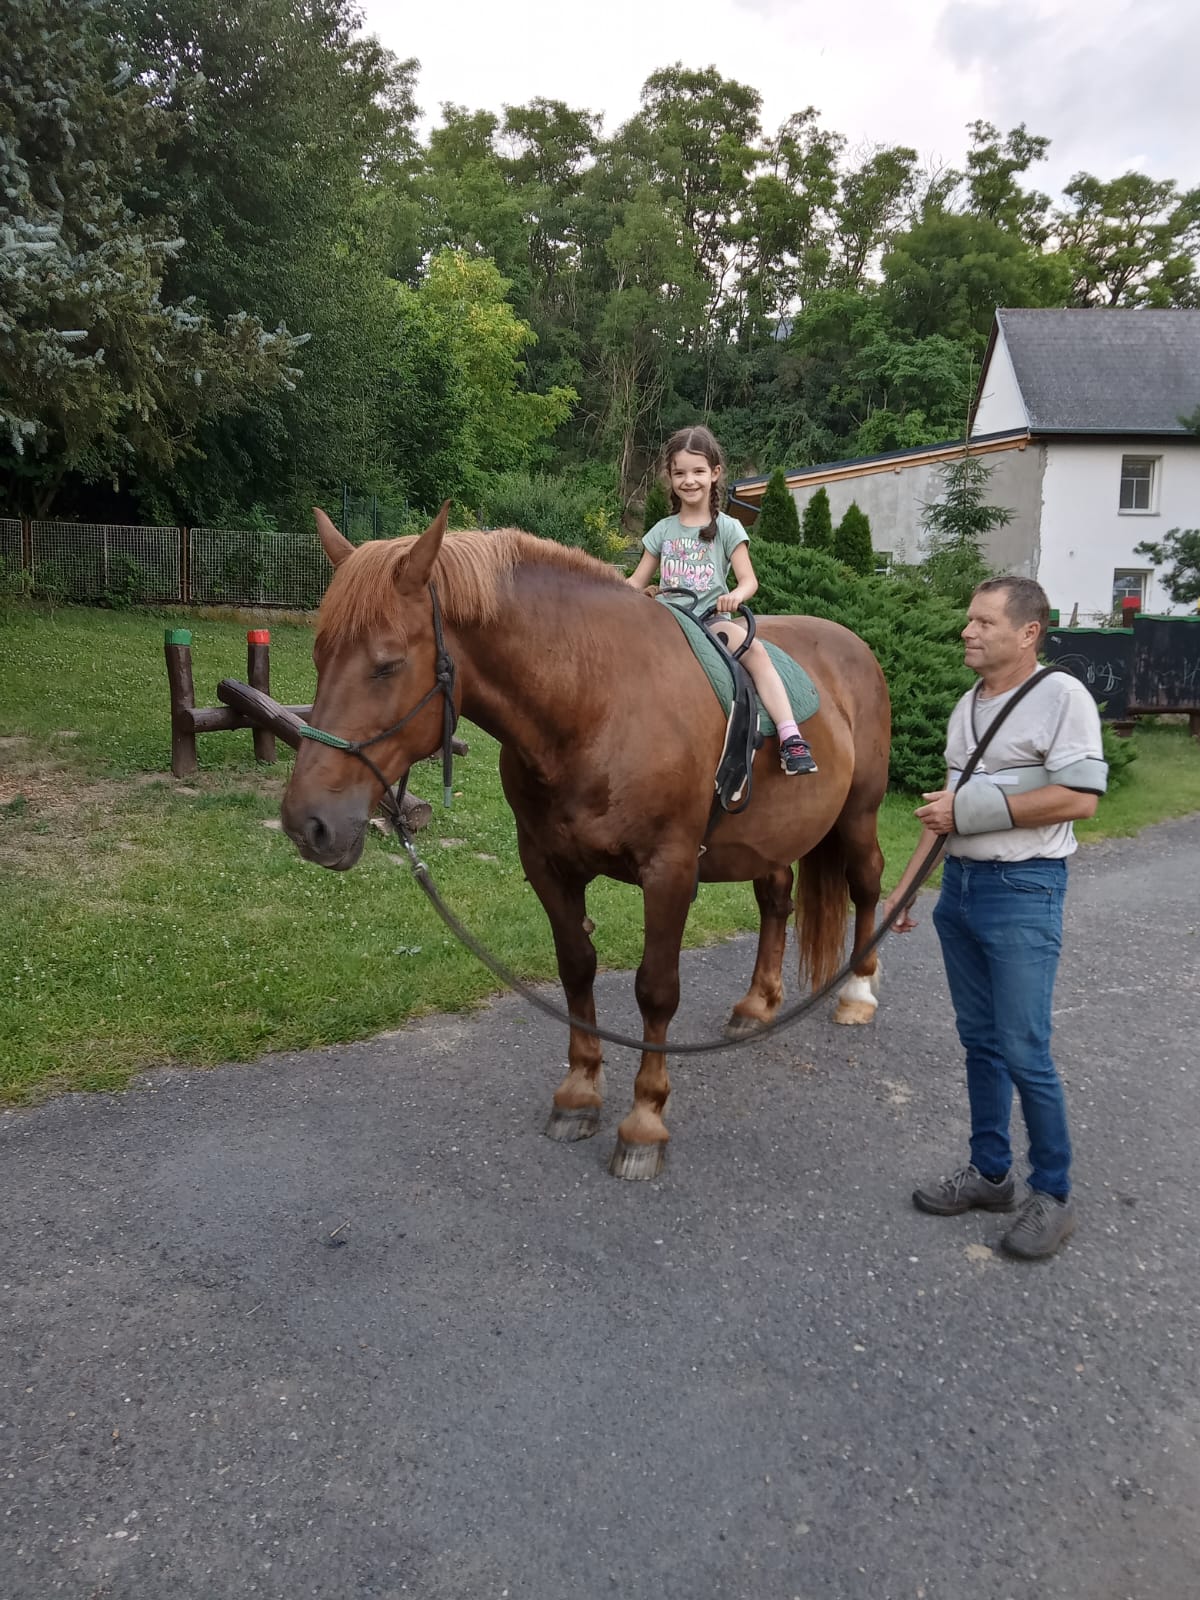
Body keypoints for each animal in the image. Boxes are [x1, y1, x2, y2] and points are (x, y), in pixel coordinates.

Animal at [276, 505, 889, 1184]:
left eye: (386, 664)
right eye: (319, 654)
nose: (308, 823)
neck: (597, 701)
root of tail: (854, 646)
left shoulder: (670, 871)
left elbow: (656, 989)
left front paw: (644, 1123)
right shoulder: (548, 866)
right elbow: (576, 970)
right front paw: (578, 1094)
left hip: (859, 815)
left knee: (867, 885)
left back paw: (858, 993)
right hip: (772, 840)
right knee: (777, 902)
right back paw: (757, 1005)